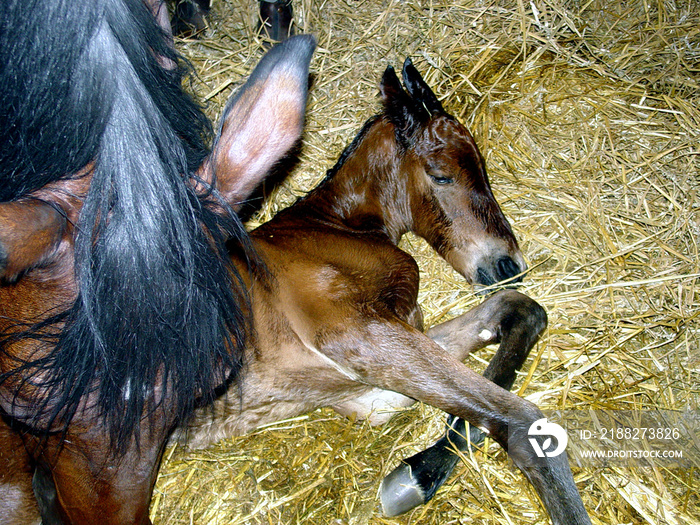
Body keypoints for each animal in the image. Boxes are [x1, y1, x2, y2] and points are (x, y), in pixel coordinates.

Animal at [179, 59, 592, 520]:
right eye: (442, 175)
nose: (509, 264)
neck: (334, 227)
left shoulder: (364, 389)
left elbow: (519, 311)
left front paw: (418, 472)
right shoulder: (352, 331)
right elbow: (518, 421)